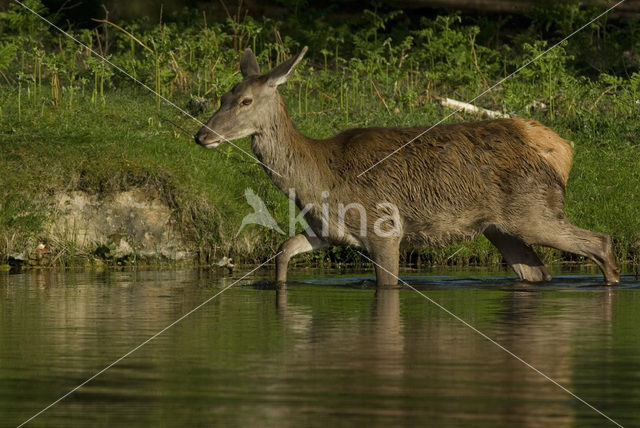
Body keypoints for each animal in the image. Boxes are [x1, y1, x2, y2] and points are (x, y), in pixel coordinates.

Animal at [194, 46, 620, 288]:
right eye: (222, 97)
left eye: (246, 101)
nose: (201, 136)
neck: (318, 180)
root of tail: (560, 151)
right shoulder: (328, 232)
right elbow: (283, 249)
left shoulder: (386, 229)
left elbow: (387, 286)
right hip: (500, 229)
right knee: (537, 272)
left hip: (534, 211)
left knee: (600, 240)